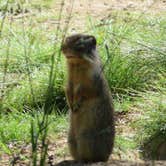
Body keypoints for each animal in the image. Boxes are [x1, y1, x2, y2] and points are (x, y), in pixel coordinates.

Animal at [61, 33, 115, 162]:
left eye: (79, 44)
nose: (62, 48)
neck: (76, 64)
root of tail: (106, 157)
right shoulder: (69, 80)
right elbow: (68, 88)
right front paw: (71, 105)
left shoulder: (92, 80)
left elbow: (83, 90)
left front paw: (76, 104)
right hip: (71, 140)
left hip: (86, 140)